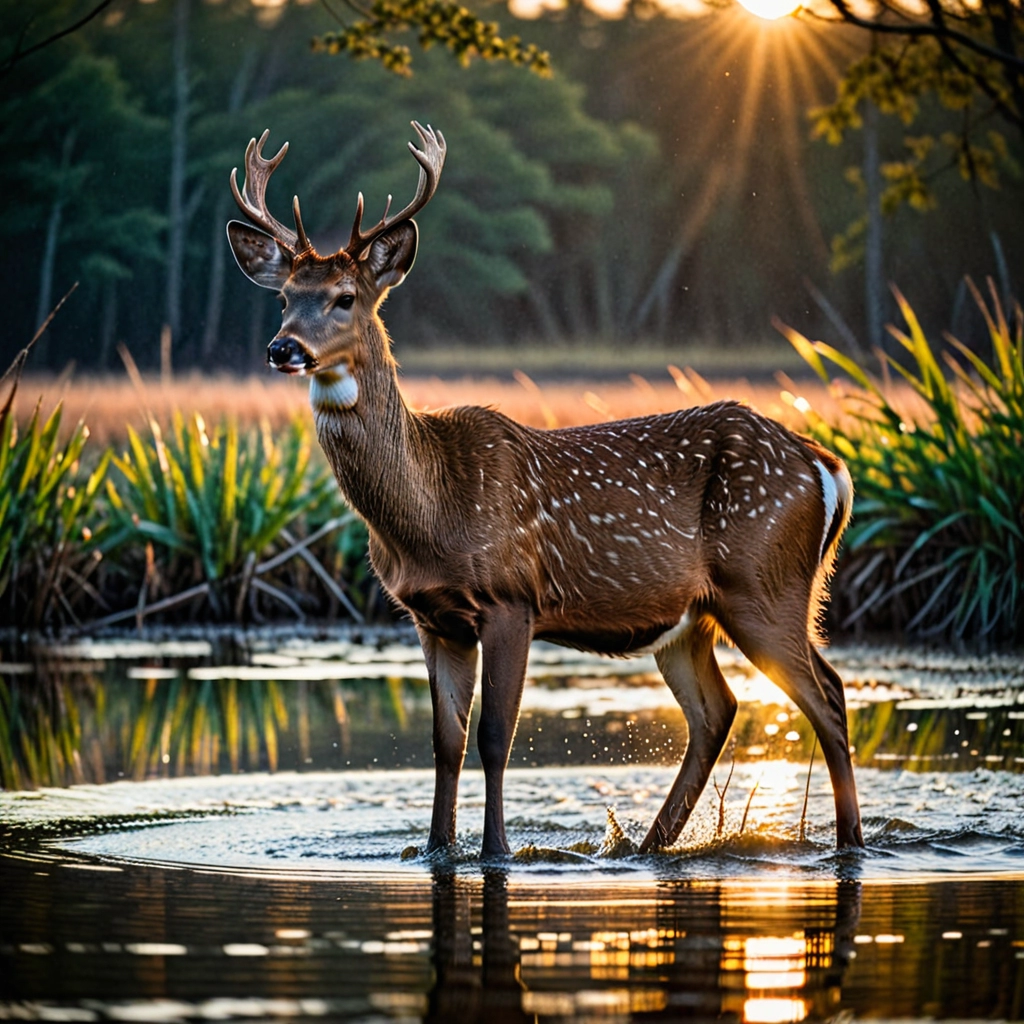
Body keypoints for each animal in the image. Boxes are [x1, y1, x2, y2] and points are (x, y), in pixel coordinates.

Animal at [226, 119, 864, 856]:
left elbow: (495, 737)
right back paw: (646, 847)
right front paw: (436, 848)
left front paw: (496, 851)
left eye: (345, 297)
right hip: (693, 616)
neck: (429, 513)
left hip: (764, 583)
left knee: (828, 694)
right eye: (283, 297)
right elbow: (444, 743)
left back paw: (848, 843)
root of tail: (826, 467)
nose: (283, 348)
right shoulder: (431, 616)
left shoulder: (511, 599)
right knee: (717, 709)